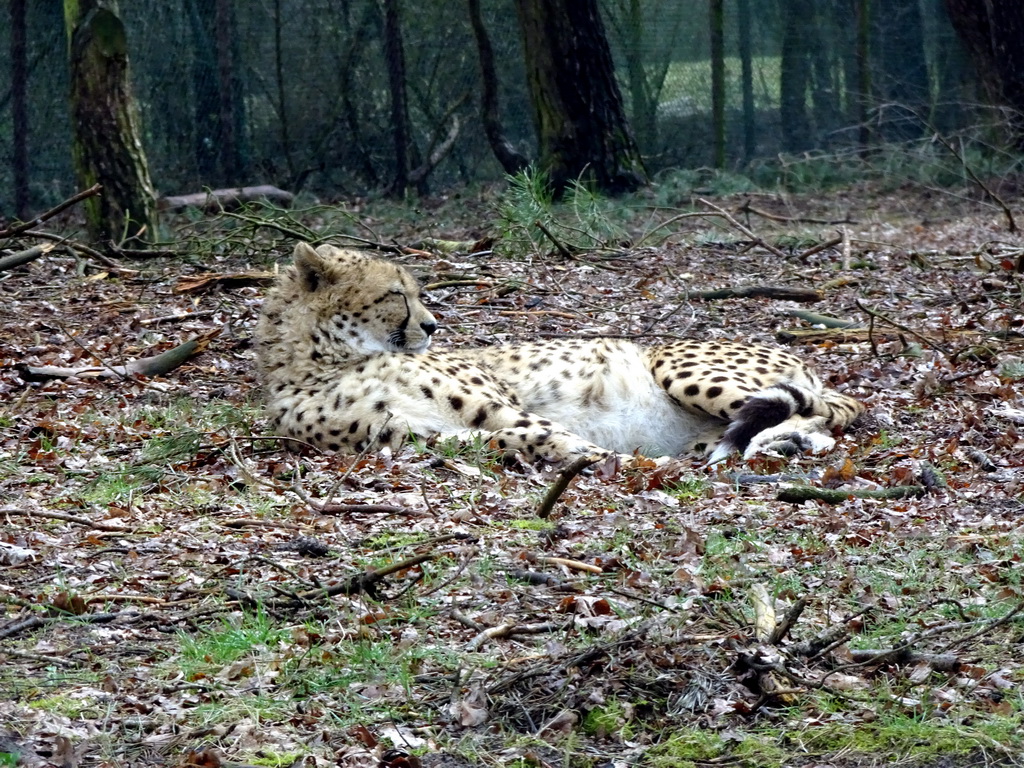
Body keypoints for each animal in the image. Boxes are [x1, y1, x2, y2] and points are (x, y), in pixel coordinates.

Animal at [256, 243, 864, 466]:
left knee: (816, 411)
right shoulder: (416, 435)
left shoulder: (495, 401)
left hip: (676, 365)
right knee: (808, 423)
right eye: (394, 294)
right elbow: (510, 438)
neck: (323, 360)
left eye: (413, 291)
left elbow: (538, 428)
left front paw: (601, 458)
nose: (432, 325)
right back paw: (782, 443)